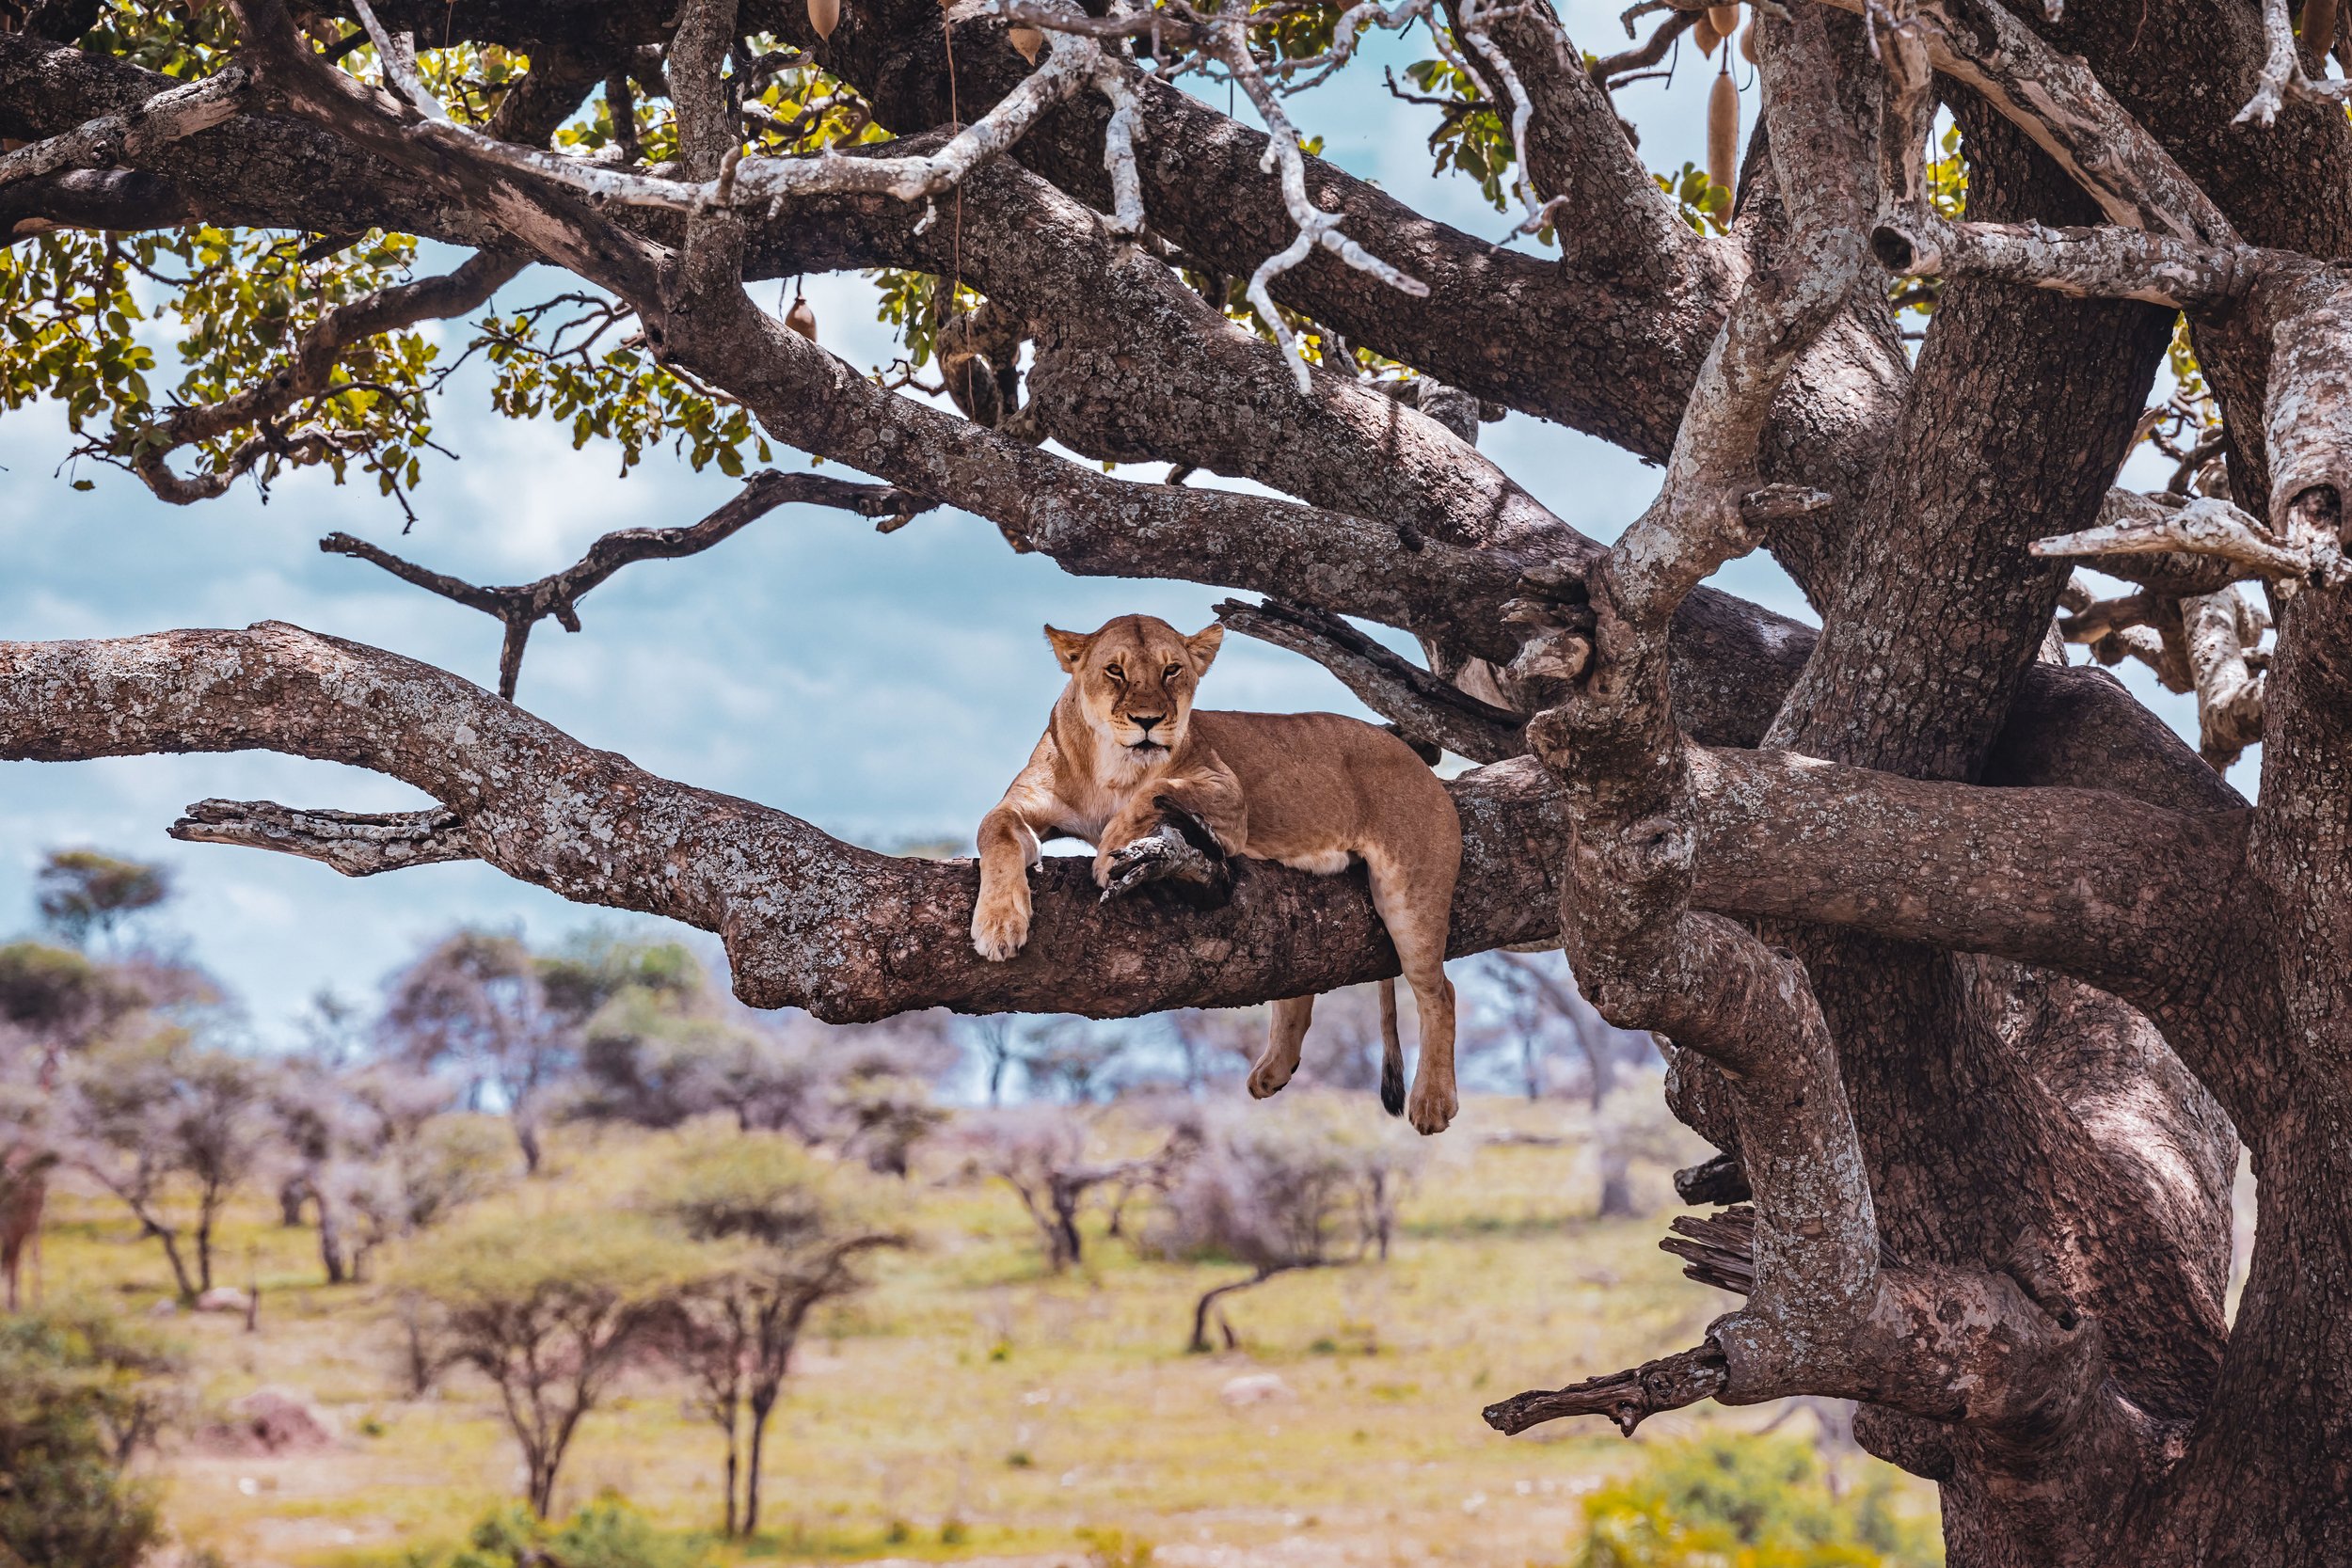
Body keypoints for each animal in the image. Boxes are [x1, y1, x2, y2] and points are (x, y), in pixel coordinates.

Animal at [970, 613, 1464, 1134]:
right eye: (1115, 671)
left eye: (1171, 670)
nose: (1148, 721)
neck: (1114, 766)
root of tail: (1413, 756)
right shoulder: (1025, 803)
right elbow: (993, 828)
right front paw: (998, 924)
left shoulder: (1228, 797)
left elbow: (1155, 790)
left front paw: (1107, 854)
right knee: (1297, 982)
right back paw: (1272, 1072)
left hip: (1411, 895)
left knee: (1440, 992)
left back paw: (1432, 1102)